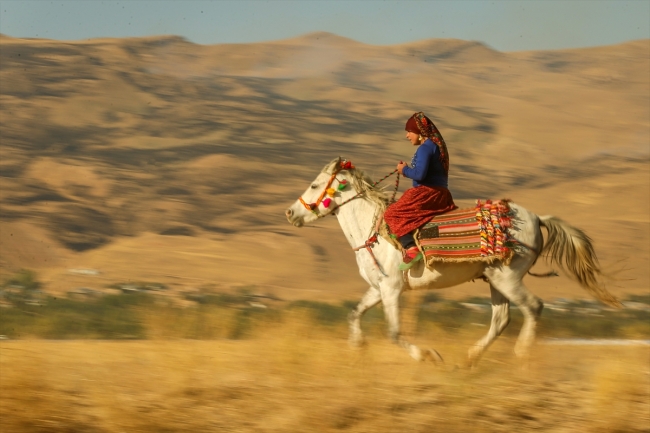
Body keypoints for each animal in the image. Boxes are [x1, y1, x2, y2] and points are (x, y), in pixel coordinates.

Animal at [284, 157, 616, 366]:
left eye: (314, 185)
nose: (290, 213)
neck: (372, 230)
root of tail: (536, 218)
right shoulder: (378, 288)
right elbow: (354, 315)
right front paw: (357, 349)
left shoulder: (391, 290)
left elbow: (394, 333)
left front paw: (429, 356)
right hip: (496, 280)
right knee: (501, 319)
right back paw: (470, 358)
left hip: (508, 278)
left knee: (533, 307)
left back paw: (521, 354)